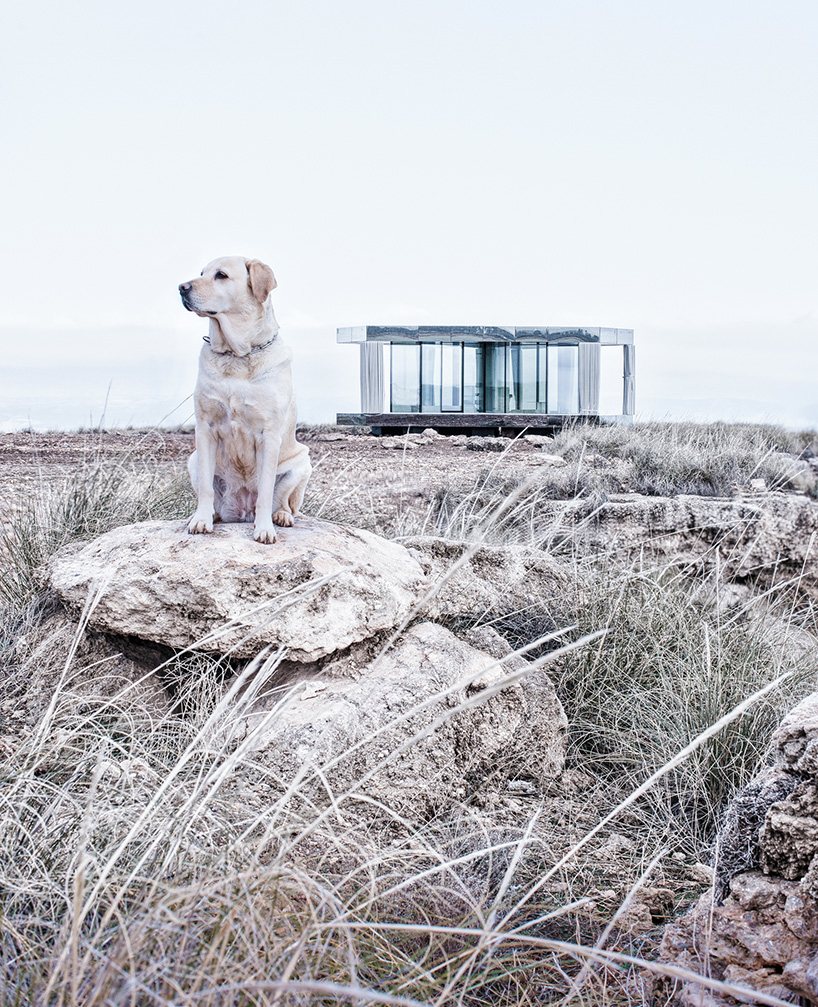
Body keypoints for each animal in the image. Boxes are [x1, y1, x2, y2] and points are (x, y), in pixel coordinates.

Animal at [178, 255, 310, 547]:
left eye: (221, 275)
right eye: (201, 273)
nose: (181, 287)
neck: (236, 355)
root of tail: (241, 512)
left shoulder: (268, 435)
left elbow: (265, 491)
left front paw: (265, 530)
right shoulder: (205, 428)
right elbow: (206, 488)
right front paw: (201, 520)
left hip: (302, 463)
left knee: (284, 502)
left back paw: (281, 517)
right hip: (193, 460)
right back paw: (210, 515)